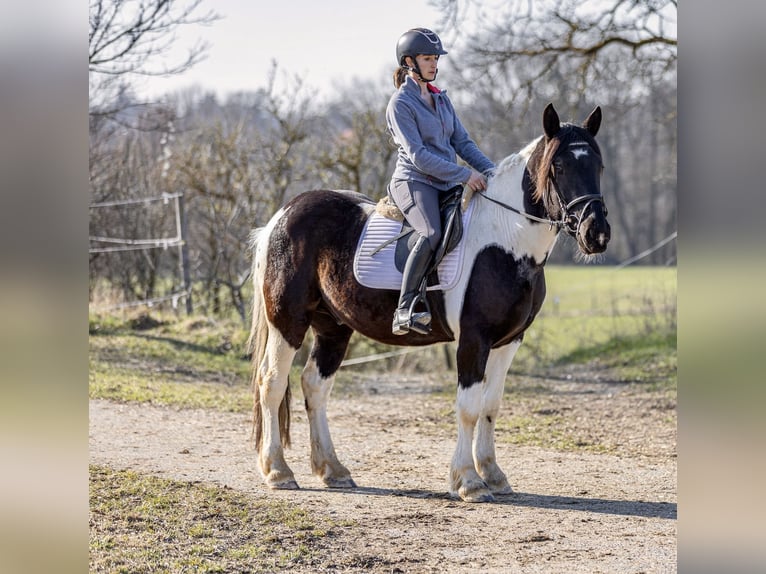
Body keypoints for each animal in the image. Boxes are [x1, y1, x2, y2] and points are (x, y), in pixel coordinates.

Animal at [247, 103, 610, 503]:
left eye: (598, 165)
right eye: (558, 167)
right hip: (288, 322)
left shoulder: (509, 341)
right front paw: (468, 481)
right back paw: (278, 471)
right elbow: (468, 408)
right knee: (272, 382)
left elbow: (491, 405)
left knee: (314, 385)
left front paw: (493, 474)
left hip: (334, 328)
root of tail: (281, 217)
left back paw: (333, 470)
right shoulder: (474, 338)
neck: (508, 243)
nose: (596, 233)